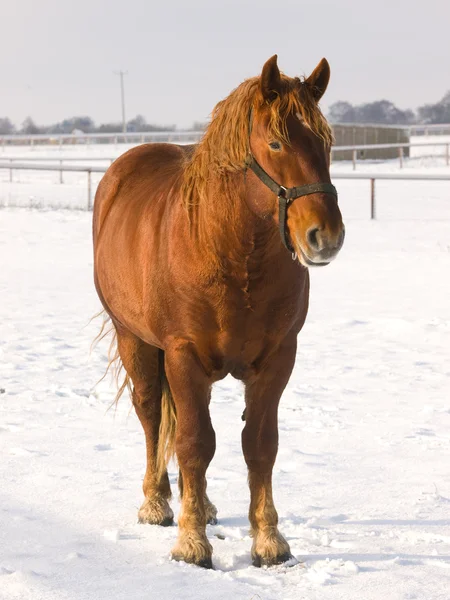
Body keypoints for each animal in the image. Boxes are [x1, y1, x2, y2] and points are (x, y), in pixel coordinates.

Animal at [92, 55, 344, 568]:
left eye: (327, 142)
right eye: (276, 142)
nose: (325, 235)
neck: (230, 251)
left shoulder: (277, 359)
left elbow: (260, 445)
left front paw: (268, 540)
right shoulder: (182, 355)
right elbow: (192, 444)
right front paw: (191, 543)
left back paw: (203, 505)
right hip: (136, 342)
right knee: (152, 417)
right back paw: (157, 502)